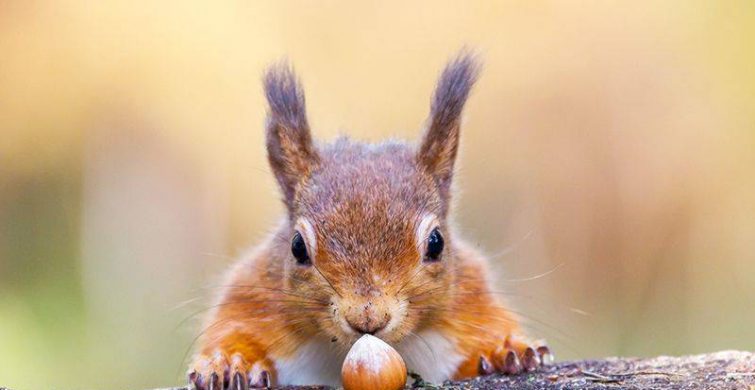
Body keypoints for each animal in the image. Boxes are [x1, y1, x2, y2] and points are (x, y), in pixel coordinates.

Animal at [186, 52, 552, 390]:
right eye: (297, 247)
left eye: (436, 243)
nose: (368, 317)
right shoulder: (252, 295)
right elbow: (234, 329)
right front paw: (229, 362)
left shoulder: (471, 296)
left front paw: (507, 349)